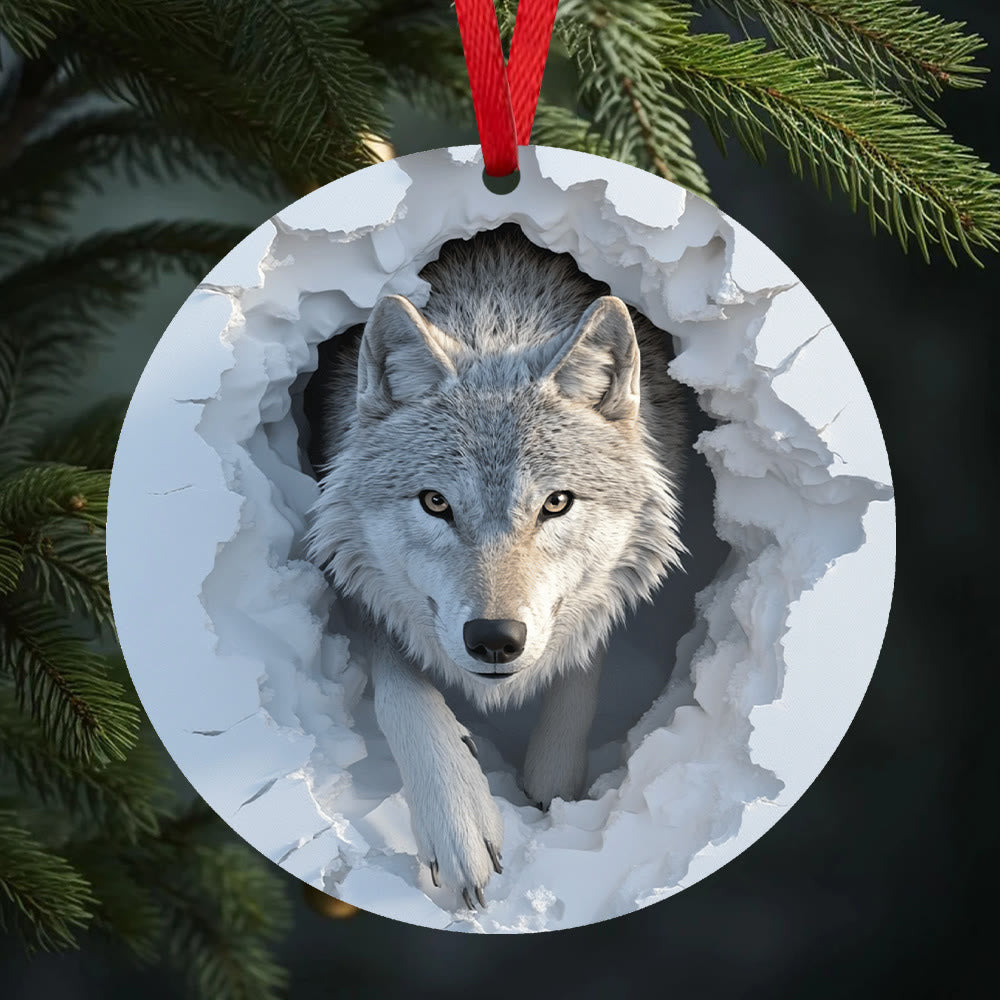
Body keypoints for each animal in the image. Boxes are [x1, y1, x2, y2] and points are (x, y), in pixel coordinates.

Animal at [305, 224, 687, 909]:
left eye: (556, 503)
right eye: (435, 503)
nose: (494, 640)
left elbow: (581, 664)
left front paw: (552, 785)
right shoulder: (353, 579)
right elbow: (402, 688)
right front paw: (459, 823)